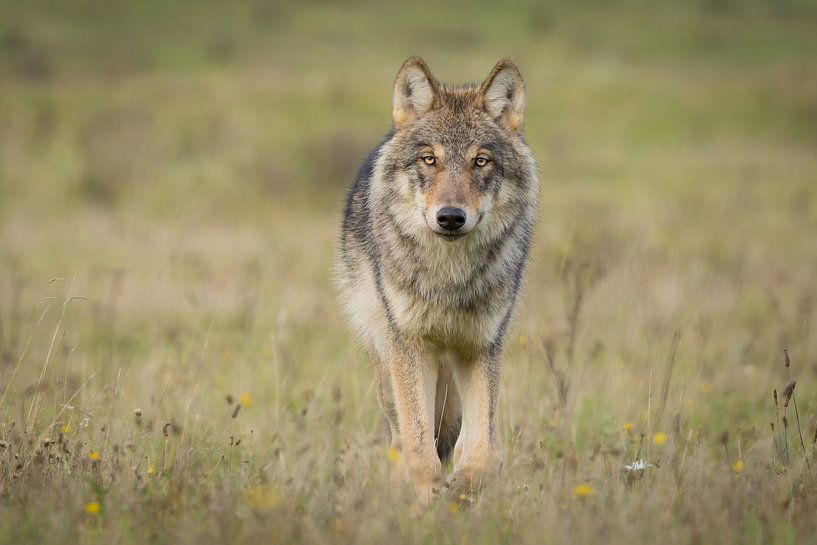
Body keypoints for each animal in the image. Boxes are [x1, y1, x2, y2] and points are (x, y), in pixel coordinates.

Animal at [336, 57, 539, 505]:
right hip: (387, 366)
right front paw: (430, 497)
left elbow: (483, 449)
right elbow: (419, 447)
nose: (450, 217)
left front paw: (462, 490)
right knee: (399, 441)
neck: (450, 279)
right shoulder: (411, 347)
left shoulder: (482, 347)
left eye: (481, 161)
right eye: (430, 160)